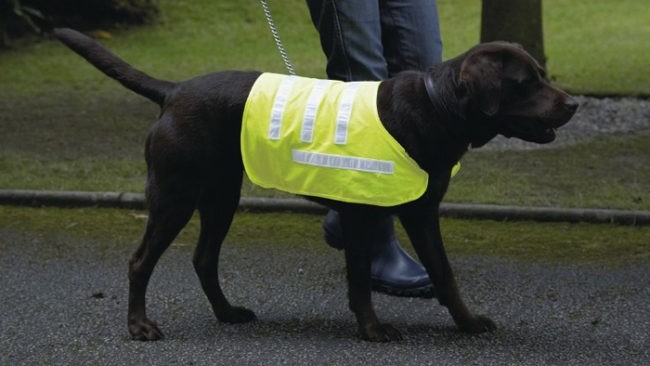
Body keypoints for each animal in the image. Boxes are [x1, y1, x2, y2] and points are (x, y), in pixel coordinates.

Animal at [53, 28, 576, 344]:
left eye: (541, 75)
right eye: (526, 82)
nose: (572, 104)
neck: (437, 104)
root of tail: (174, 90)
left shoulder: (422, 211)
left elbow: (445, 273)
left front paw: (467, 323)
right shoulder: (363, 213)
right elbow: (361, 279)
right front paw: (373, 330)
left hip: (221, 196)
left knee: (203, 259)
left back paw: (228, 313)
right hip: (173, 195)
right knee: (141, 260)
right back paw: (140, 326)